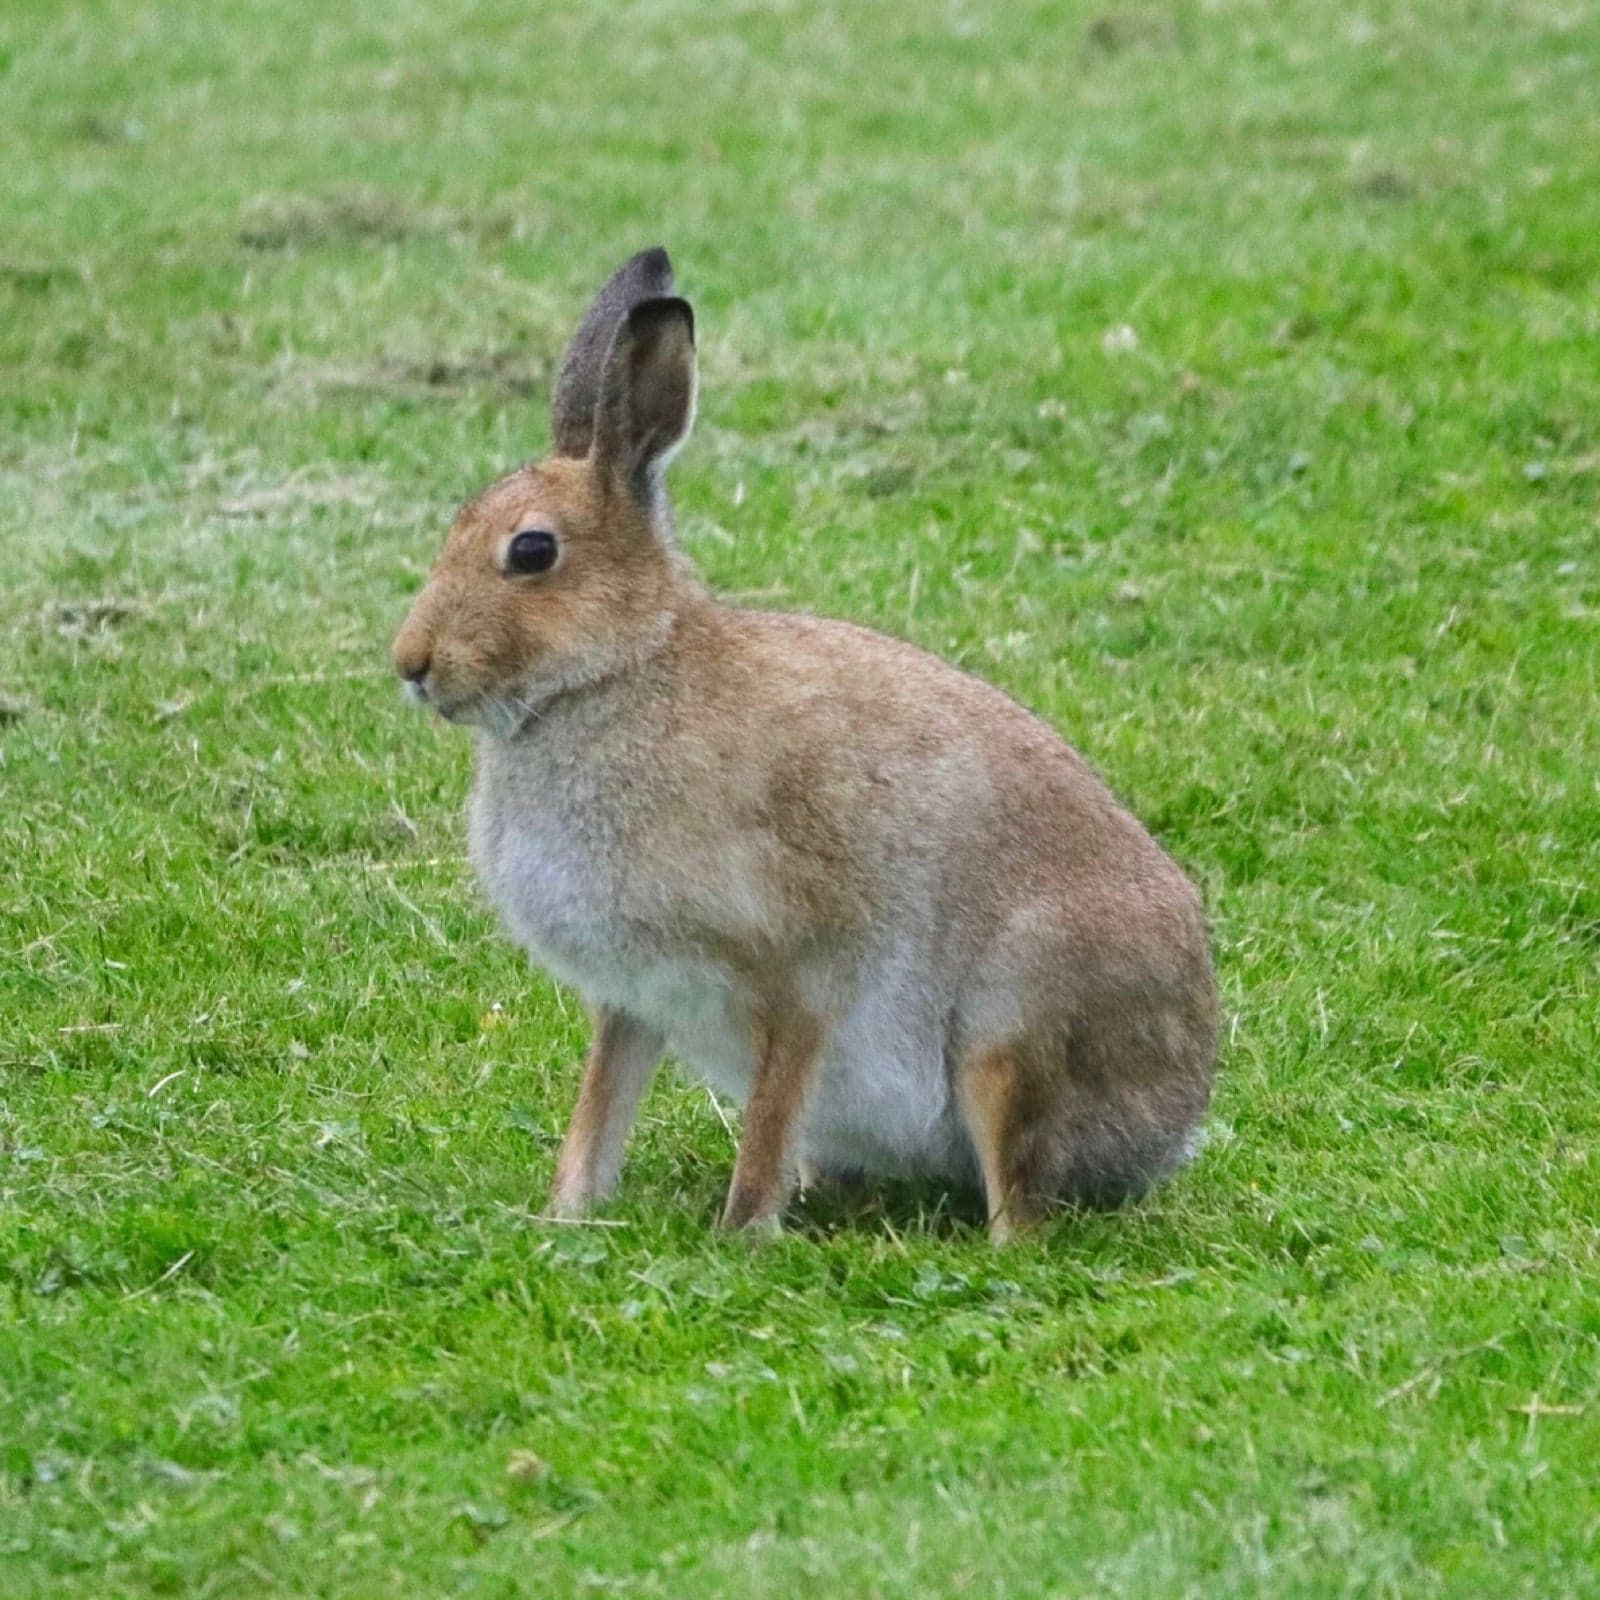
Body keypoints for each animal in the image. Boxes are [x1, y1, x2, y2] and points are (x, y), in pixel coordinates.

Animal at [392, 248, 1218, 1239]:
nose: (411, 663)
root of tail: (1176, 1123)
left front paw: (741, 1234)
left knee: (1020, 1200)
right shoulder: (633, 997)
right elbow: (601, 1108)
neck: (619, 673)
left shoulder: (801, 971)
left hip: (1014, 1024)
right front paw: (567, 1214)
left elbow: (770, 1111)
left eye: (532, 553)